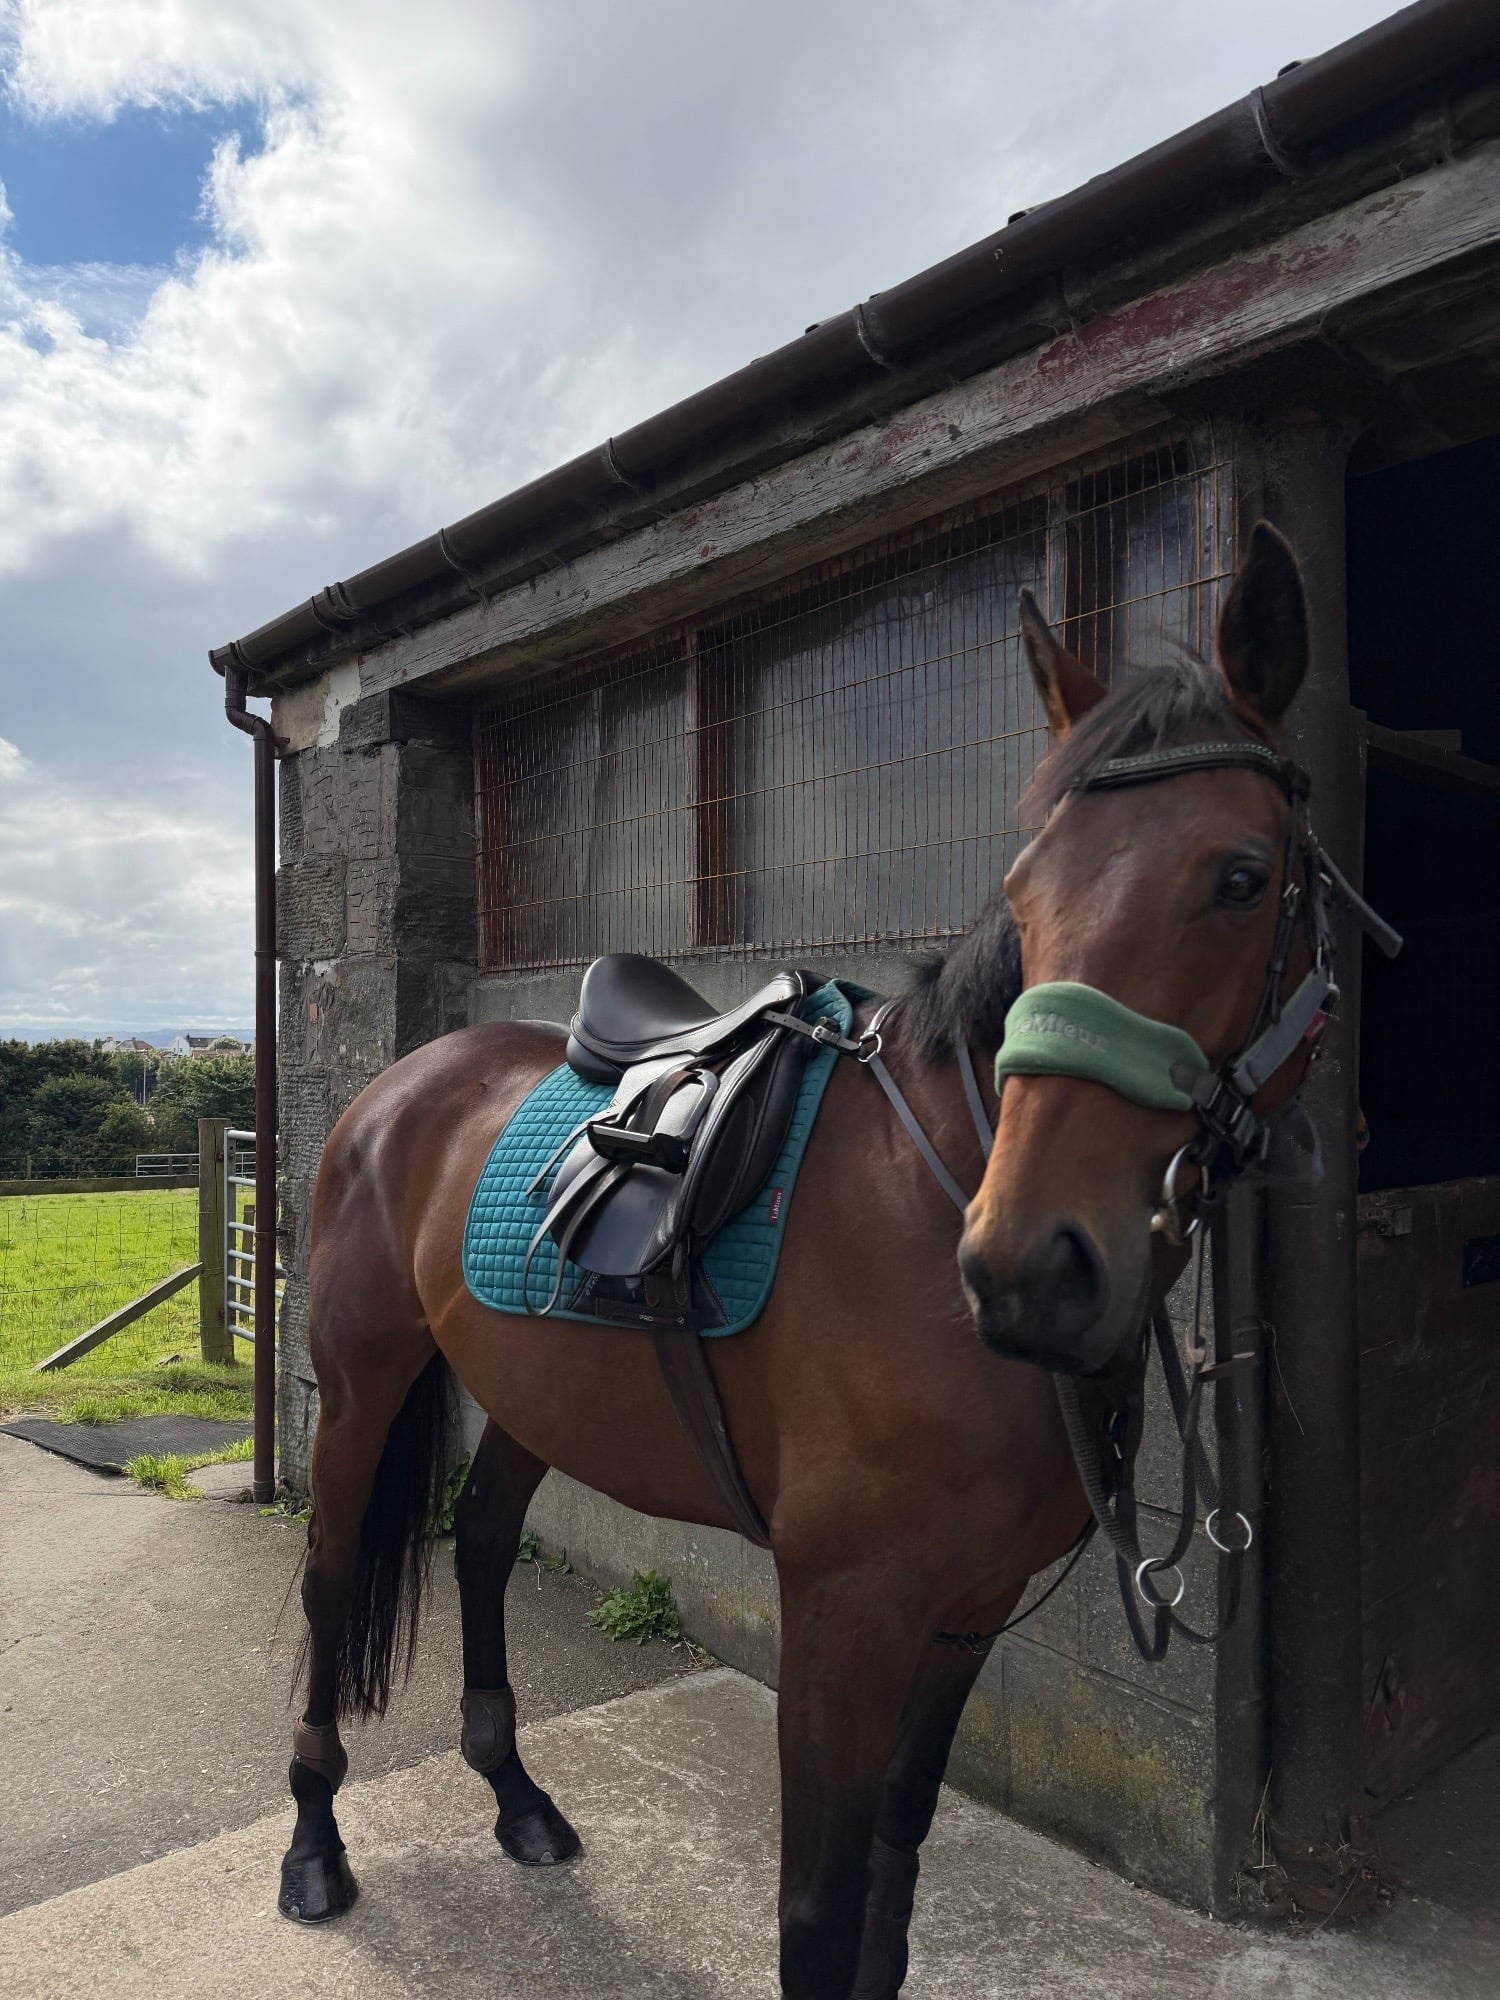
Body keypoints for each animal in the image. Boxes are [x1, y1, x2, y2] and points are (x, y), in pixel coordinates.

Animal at [279, 521, 1319, 1998]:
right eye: (1023, 894)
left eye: (1242, 876)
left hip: (535, 1390)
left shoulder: (966, 1613)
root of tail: (396, 1084)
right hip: (363, 1383)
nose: (1028, 1266)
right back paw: (313, 1842)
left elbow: (890, 1884)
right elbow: (819, 1917)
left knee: (479, 1541)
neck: (936, 1217)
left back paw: (517, 1794)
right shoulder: (841, 1614)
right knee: (327, 1575)